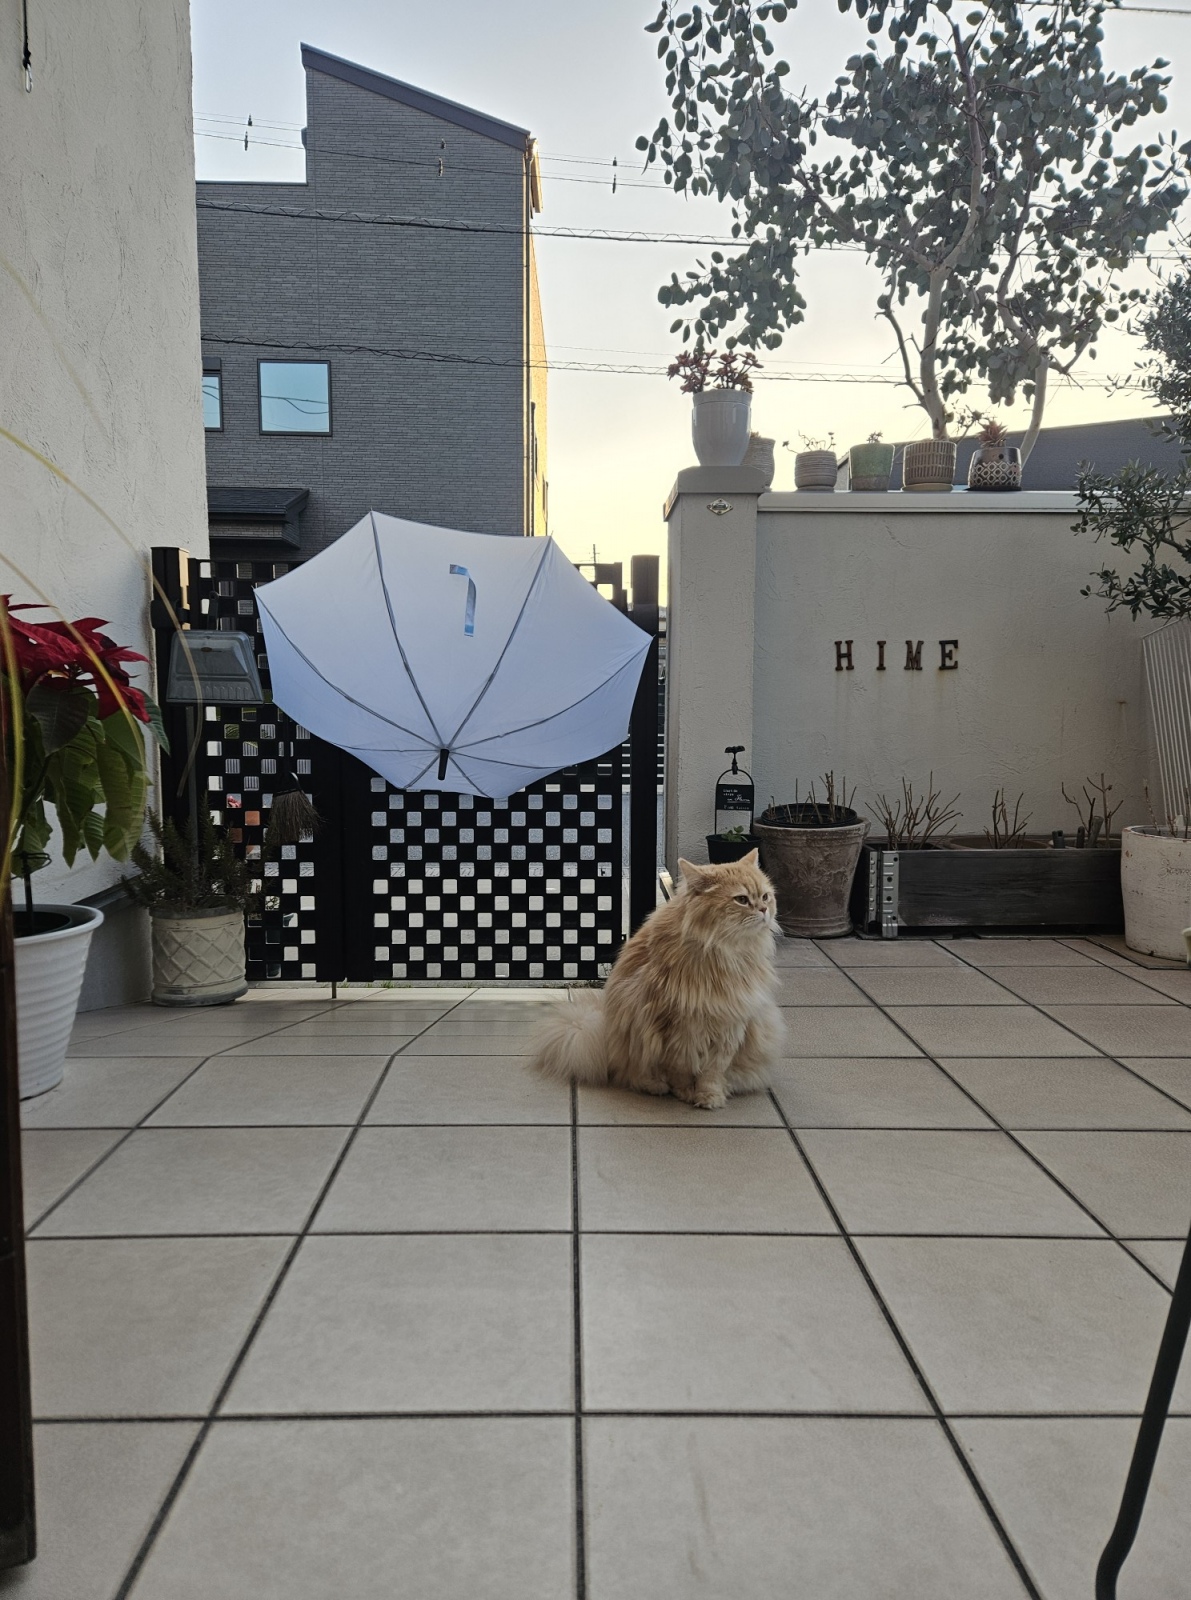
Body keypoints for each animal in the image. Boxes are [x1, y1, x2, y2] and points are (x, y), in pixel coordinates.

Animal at [532, 850, 784, 1109]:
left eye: (765, 896)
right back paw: (655, 1085)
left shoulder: (731, 1024)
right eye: (741, 900)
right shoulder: (678, 1029)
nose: (763, 909)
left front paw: (709, 1097)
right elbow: (681, 1069)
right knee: (634, 1074)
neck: (722, 953)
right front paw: (685, 1093)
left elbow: (712, 1072)